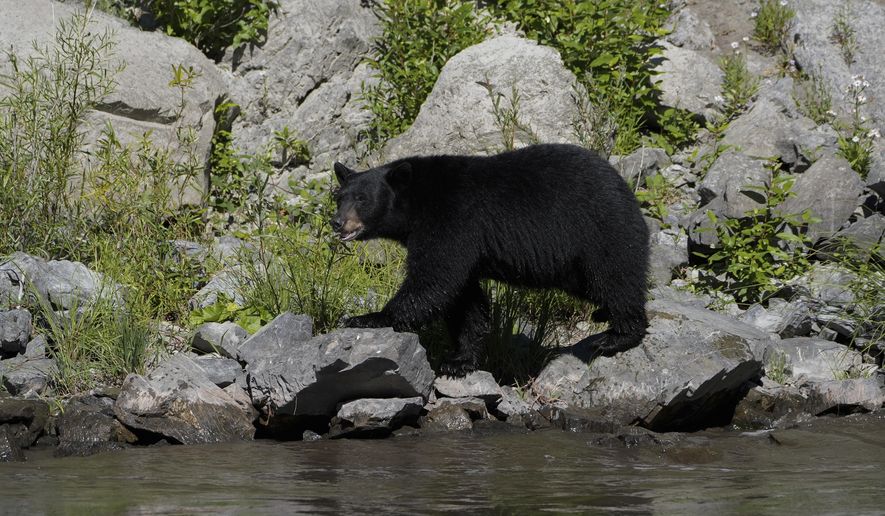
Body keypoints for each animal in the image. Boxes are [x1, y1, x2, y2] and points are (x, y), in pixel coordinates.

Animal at [331, 143, 649, 376]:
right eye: (340, 196)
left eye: (362, 199)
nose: (337, 222)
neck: (417, 202)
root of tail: (625, 187)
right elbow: (465, 300)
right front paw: (460, 360)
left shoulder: (451, 220)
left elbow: (434, 280)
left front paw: (367, 317)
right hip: (574, 266)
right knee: (597, 285)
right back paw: (604, 314)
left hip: (599, 230)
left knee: (615, 278)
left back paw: (616, 336)